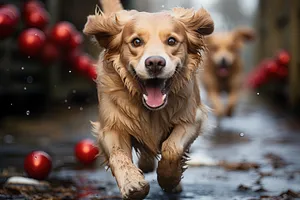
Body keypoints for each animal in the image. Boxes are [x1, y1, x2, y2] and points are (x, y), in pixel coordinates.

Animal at [83, 0, 214, 198]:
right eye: (136, 41)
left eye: (171, 41)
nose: (154, 63)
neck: (152, 110)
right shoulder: (111, 126)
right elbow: (118, 155)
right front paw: (132, 184)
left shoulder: (192, 119)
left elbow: (172, 148)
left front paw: (169, 179)